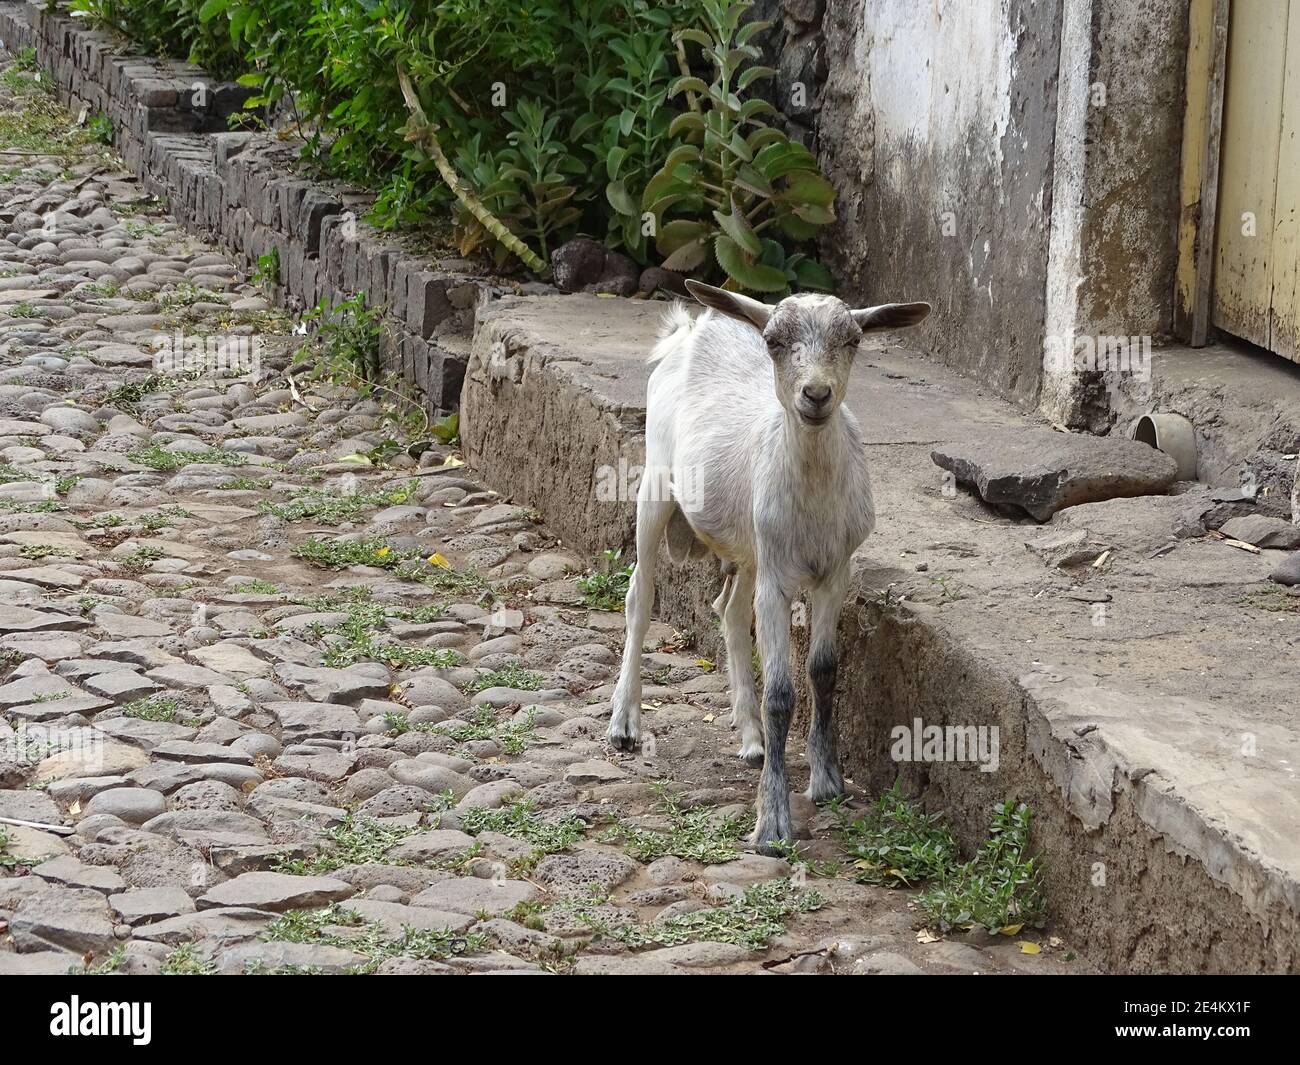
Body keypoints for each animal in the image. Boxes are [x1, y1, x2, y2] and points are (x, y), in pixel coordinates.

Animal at [611, 279, 935, 853]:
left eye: (853, 340)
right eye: (774, 341)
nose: (816, 394)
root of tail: (693, 327)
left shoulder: (833, 573)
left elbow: (824, 671)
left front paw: (826, 781)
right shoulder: (779, 580)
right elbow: (782, 693)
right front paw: (772, 822)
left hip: (750, 545)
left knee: (730, 610)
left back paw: (751, 737)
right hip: (655, 483)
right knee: (639, 598)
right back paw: (626, 721)